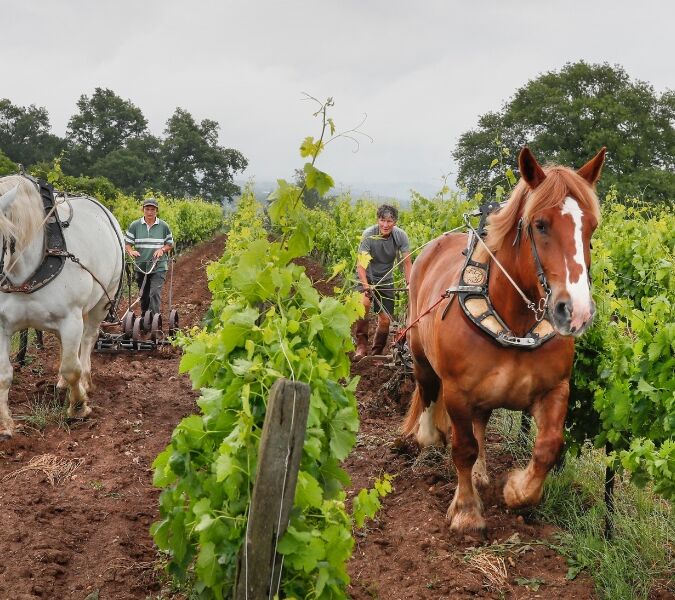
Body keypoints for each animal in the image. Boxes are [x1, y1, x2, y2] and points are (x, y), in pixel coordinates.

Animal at [0, 175, 124, 440]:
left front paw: (78, 406)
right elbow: (3, 373)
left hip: (102, 301)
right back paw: (60, 384)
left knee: (87, 340)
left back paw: (85, 382)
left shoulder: (70, 319)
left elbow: (71, 367)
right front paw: (5, 424)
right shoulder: (2, 325)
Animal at [403, 147, 605, 535]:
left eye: (591, 226)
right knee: (428, 390)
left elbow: (547, 446)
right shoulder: (457, 392)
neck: (515, 325)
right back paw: (429, 435)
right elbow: (462, 448)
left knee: (481, 424)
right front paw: (466, 511)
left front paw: (517, 489)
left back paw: (481, 474)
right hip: (420, 353)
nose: (576, 312)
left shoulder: (555, 389)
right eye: (540, 224)